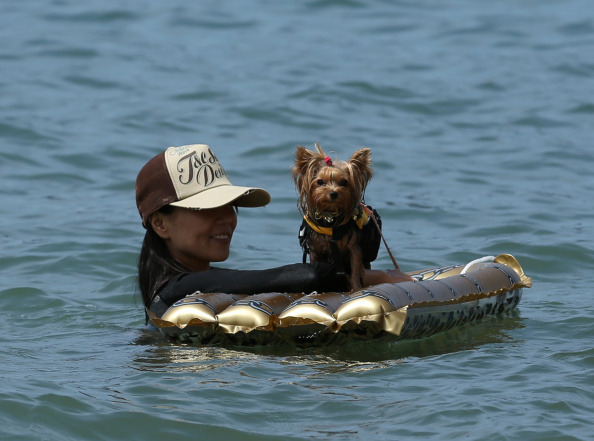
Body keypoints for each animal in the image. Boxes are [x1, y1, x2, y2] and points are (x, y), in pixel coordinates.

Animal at [290, 143, 380, 290]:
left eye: (344, 182)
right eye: (320, 182)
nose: (333, 193)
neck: (330, 218)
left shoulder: (353, 247)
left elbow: (355, 271)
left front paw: (356, 288)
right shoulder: (316, 249)